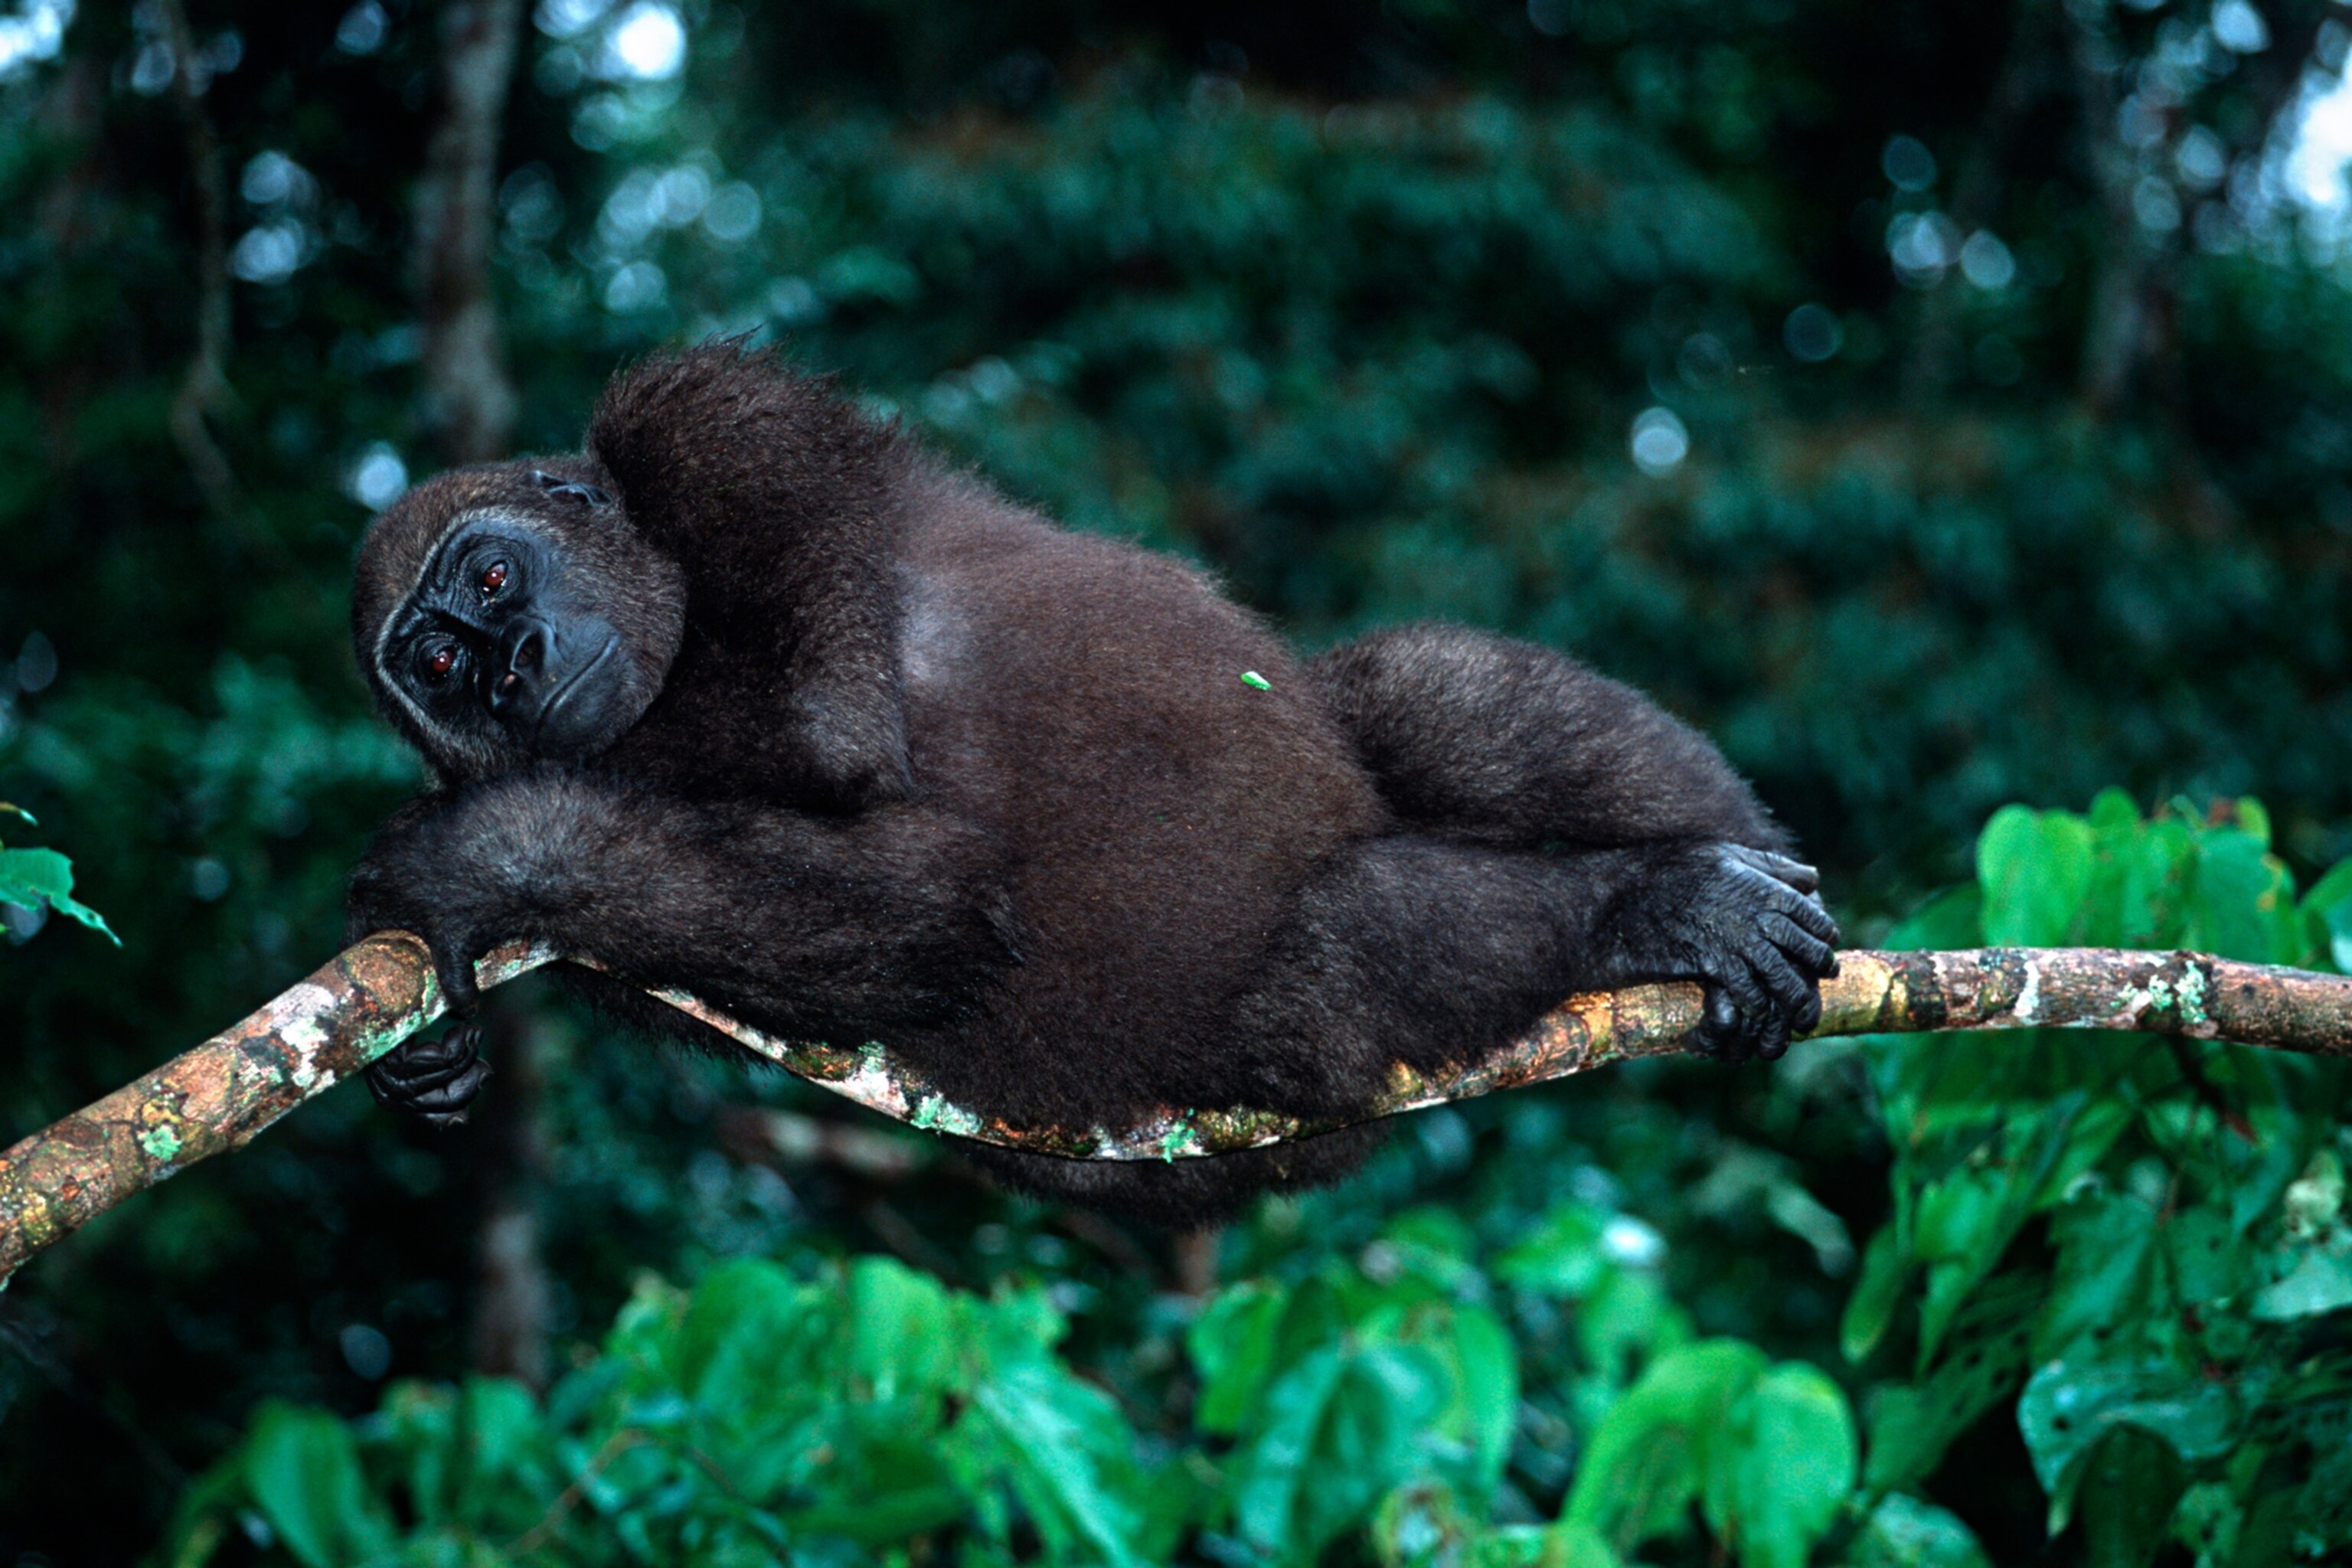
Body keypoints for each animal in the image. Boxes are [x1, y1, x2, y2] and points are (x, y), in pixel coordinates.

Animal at [346, 341, 1838, 1226]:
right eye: (438, 660)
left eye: (493, 578)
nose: (512, 670)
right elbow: (911, 903)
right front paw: (460, 877)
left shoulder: (709, 421)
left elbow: (833, 754)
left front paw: (448, 881)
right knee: (1347, 946)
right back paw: (1649, 911)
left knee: (1415, 697)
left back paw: (1730, 876)